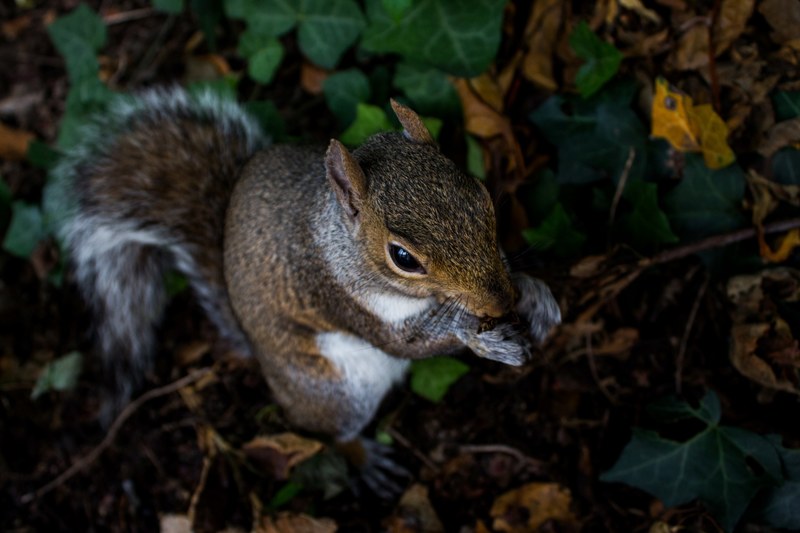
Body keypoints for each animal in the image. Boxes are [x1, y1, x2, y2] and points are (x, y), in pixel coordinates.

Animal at [56, 87, 561, 459]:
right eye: (402, 257)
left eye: (482, 196)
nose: (500, 302)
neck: (340, 242)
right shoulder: (334, 293)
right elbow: (406, 343)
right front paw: (483, 339)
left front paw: (535, 296)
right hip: (334, 394)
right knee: (332, 435)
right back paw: (364, 458)